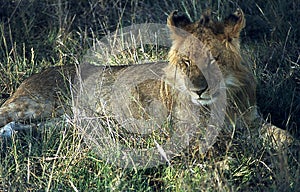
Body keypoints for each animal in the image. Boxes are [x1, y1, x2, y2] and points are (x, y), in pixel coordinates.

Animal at [0, 9, 292, 151]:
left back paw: (10, 135)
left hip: (69, 123)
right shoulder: (188, 131)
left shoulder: (250, 117)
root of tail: (34, 75)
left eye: (213, 61)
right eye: (186, 62)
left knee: (27, 128)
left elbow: (283, 136)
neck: (225, 98)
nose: (198, 91)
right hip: (34, 105)